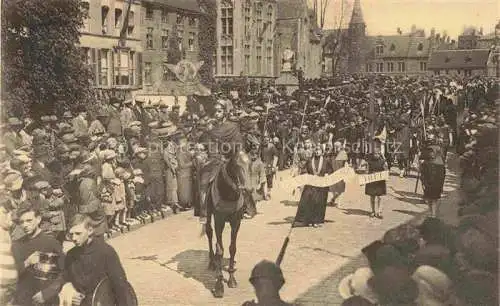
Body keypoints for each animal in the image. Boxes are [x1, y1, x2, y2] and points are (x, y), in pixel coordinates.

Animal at [203, 151, 250, 298]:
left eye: (249, 162)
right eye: (236, 165)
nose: (247, 188)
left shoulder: (236, 222)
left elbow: (232, 248)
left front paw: (231, 279)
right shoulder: (219, 221)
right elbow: (220, 250)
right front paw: (219, 286)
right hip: (207, 213)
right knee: (209, 232)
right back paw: (212, 262)